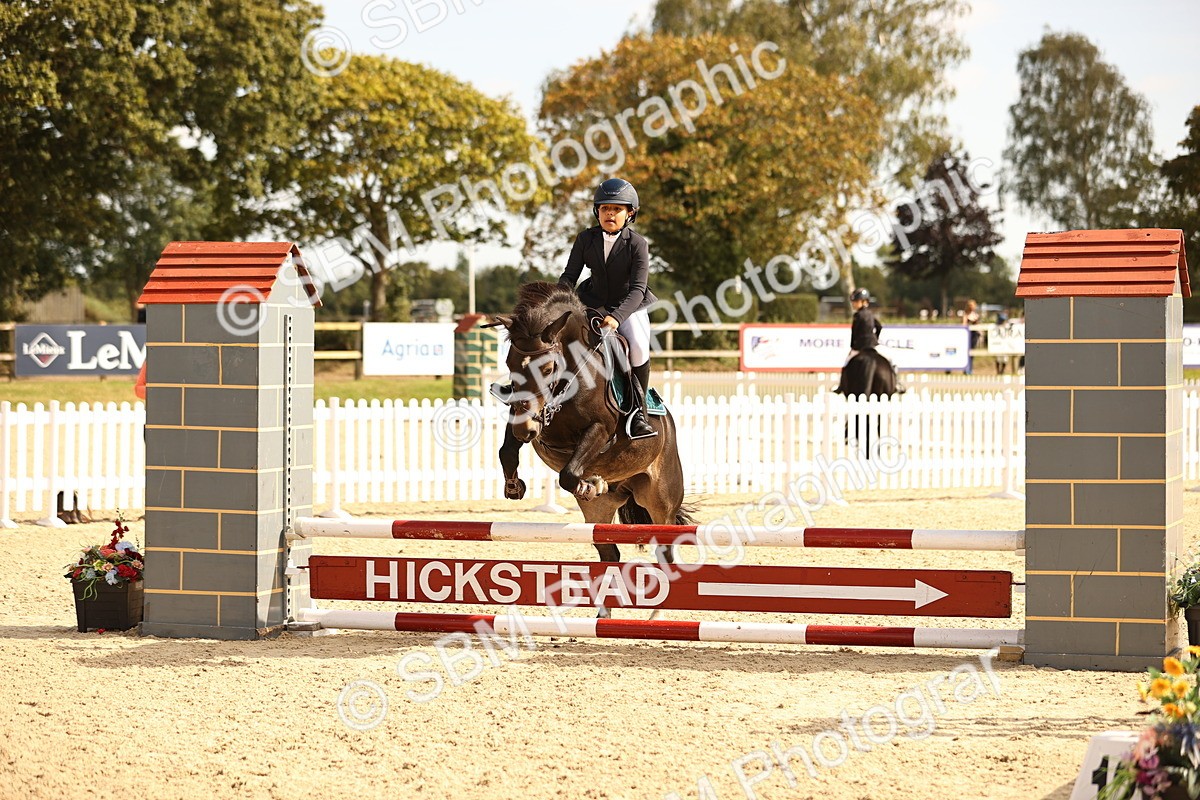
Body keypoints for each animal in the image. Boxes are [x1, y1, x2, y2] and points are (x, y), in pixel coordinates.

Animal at [489, 282, 691, 586]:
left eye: (546, 369)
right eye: (510, 364)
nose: (526, 432)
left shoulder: (600, 430)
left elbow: (569, 472)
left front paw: (588, 484)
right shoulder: (527, 417)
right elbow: (507, 450)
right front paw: (514, 487)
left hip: (661, 500)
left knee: (665, 548)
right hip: (600, 509)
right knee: (609, 551)